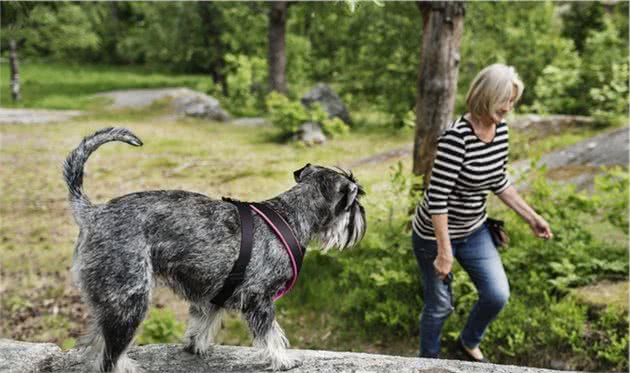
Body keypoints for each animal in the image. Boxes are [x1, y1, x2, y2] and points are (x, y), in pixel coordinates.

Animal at [63, 126, 368, 370]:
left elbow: (202, 323)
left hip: (112, 302)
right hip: (129, 301)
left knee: (96, 344)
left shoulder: (214, 293)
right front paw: (283, 360)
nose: (362, 218)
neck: (291, 216)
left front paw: (194, 346)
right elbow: (270, 334)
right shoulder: (259, 299)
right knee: (109, 355)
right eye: (354, 200)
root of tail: (93, 213)